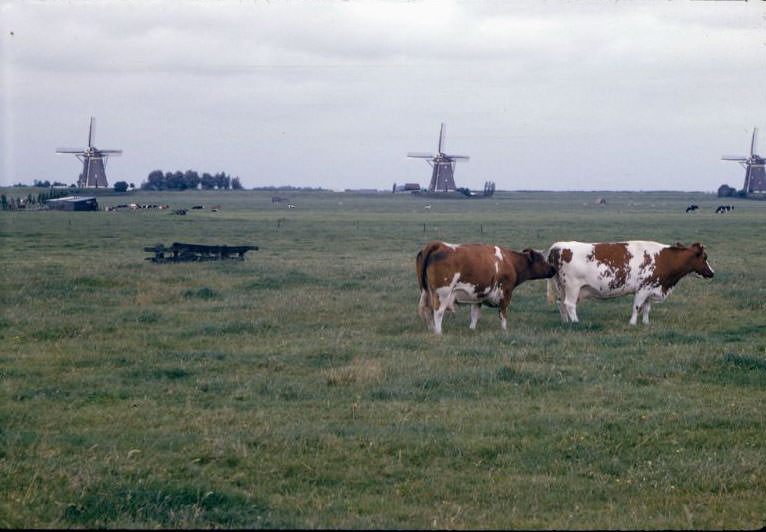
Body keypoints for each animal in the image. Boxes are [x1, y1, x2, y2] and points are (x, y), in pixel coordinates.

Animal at [416, 241, 556, 335]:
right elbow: (503, 314)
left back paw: (431, 329)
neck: (510, 261)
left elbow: (474, 315)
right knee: (438, 312)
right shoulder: (505, 293)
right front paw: (504, 330)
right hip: (443, 293)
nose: (553, 269)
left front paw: (472, 329)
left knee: (427, 310)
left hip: (427, 291)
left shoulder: (477, 296)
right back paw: (438, 332)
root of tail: (438, 244)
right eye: (541, 259)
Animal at [546, 241, 714, 325]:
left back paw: (565, 322)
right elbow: (637, 307)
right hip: (572, 286)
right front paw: (632, 323)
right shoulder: (643, 289)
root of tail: (557, 246)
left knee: (560, 303)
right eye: (704, 257)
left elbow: (646, 308)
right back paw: (575, 322)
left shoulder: (651, 288)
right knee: (569, 304)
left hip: (561, 286)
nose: (712, 273)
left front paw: (645, 323)